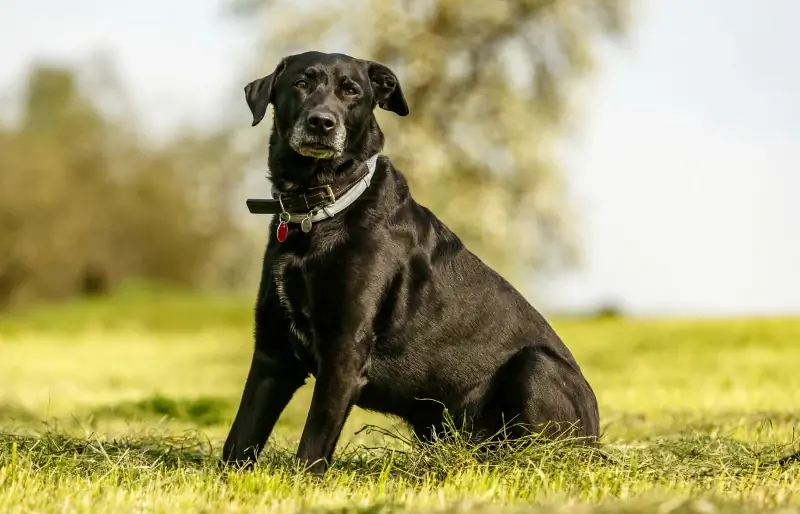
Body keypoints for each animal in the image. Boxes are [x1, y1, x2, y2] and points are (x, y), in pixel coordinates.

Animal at [222, 51, 596, 472]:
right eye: (301, 83)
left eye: (351, 91)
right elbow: (239, 438)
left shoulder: (345, 350)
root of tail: (597, 440)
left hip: (536, 366)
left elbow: (312, 446)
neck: (320, 208)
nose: (321, 122)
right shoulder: (273, 352)